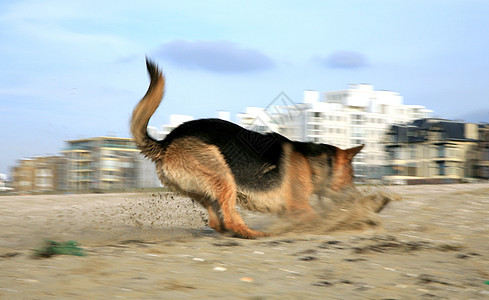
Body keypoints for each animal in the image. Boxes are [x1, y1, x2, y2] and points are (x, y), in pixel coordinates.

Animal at [132, 57, 364, 238]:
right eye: (352, 176)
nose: (356, 196)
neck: (312, 162)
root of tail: (167, 142)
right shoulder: (299, 208)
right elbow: (320, 216)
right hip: (223, 176)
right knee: (231, 218)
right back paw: (253, 233)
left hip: (206, 190)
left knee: (217, 221)